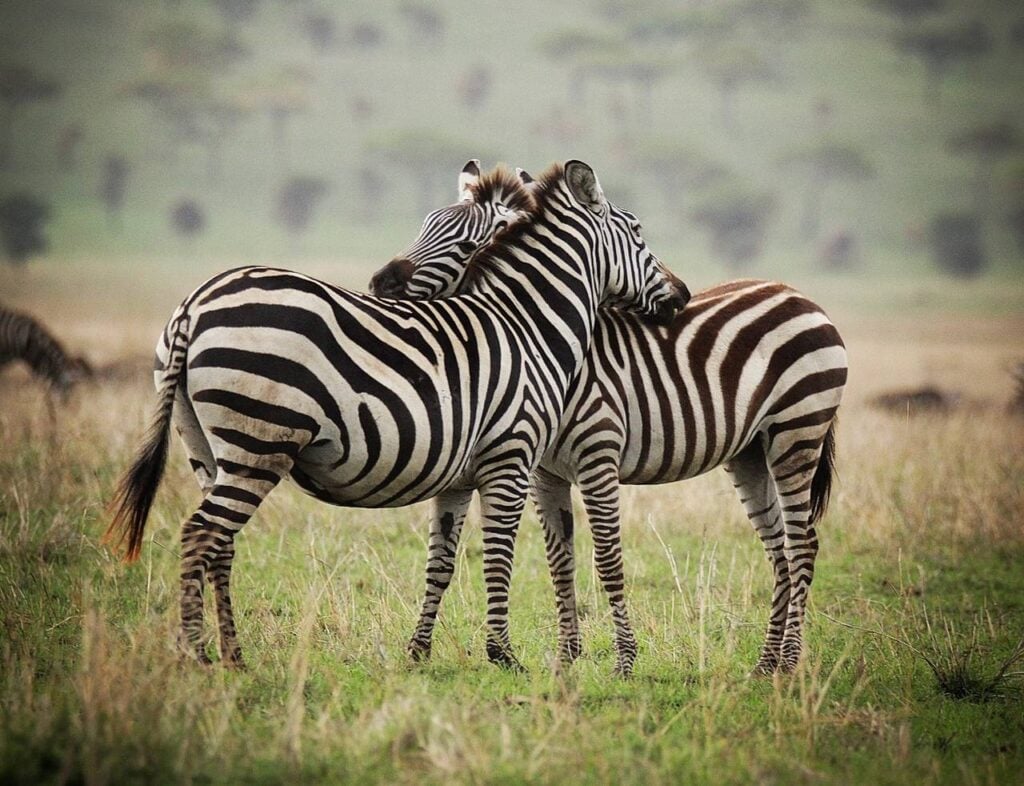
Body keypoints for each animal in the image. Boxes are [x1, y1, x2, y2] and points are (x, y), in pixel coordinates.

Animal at [105, 160, 691, 670]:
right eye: (639, 233)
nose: (682, 295)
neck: (524, 325)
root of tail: (194, 304)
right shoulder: (510, 456)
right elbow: (499, 553)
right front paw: (502, 655)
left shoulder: (459, 476)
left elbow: (442, 562)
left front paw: (419, 653)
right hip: (259, 441)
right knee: (200, 536)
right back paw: (197, 657)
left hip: (207, 448)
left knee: (219, 544)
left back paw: (233, 656)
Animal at [369, 167, 847, 676]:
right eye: (424, 226)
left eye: (467, 244)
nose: (380, 283)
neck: (550, 349)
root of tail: (794, 291)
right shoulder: (543, 472)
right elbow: (560, 560)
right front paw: (567, 658)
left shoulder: (597, 457)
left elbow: (607, 559)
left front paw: (624, 661)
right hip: (751, 452)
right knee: (778, 548)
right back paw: (766, 664)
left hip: (797, 431)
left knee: (802, 545)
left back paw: (790, 661)